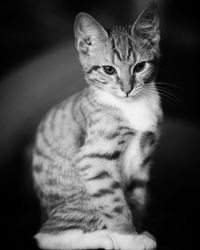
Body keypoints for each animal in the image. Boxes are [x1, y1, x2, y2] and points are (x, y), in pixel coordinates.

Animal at [32, 2, 162, 250]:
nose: (127, 89)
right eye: (109, 70)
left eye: (140, 67)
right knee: (46, 235)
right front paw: (129, 238)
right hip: (80, 193)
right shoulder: (93, 160)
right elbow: (115, 204)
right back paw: (103, 237)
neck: (131, 106)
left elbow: (137, 199)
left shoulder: (143, 160)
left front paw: (138, 229)